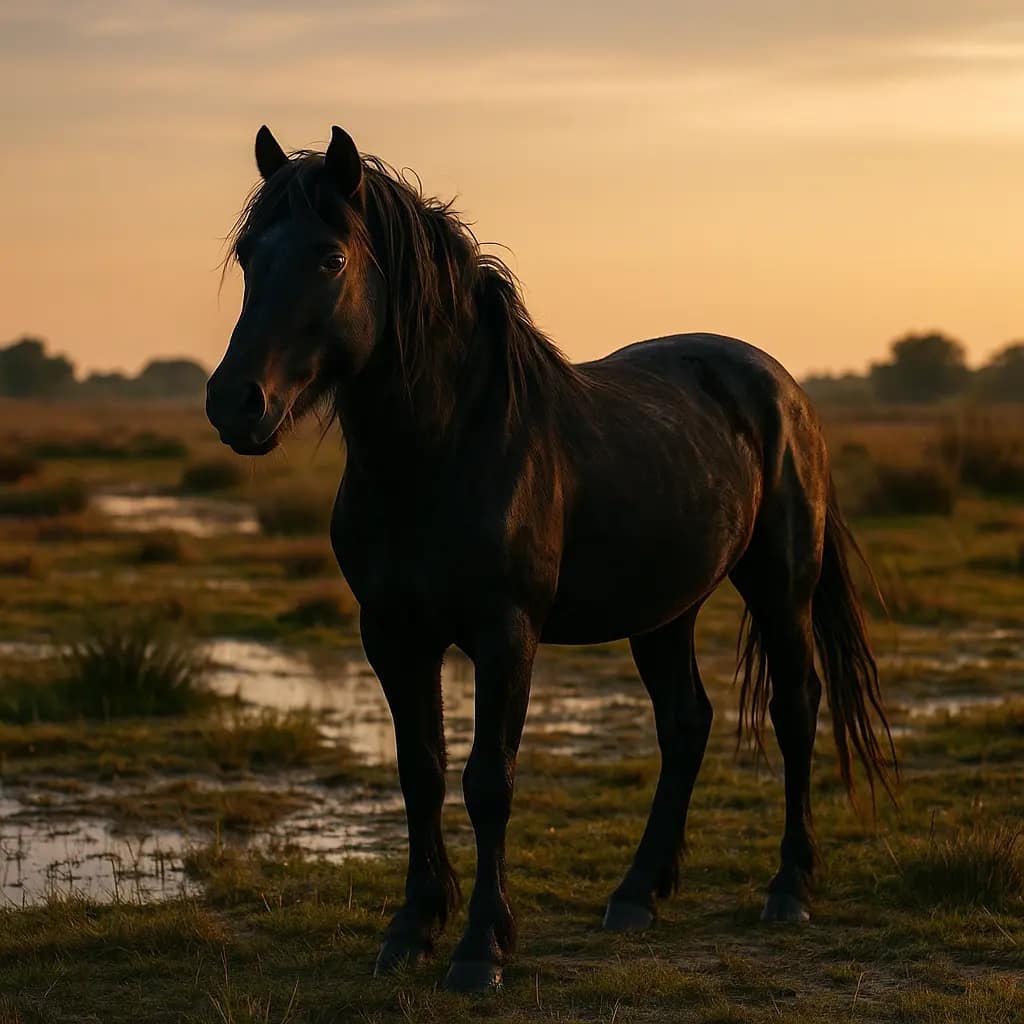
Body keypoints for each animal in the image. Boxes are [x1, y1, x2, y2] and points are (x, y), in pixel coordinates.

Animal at [206, 124, 896, 992]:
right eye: (247, 256)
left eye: (331, 259)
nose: (236, 403)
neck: (443, 449)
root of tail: (784, 389)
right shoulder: (392, 635)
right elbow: (420, 772)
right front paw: (412, 929)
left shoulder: (506, 634)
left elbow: (488, 781)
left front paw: (480, 948)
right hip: (663, 611)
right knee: (686, 724)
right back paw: (637, 895)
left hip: (780, 586)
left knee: (796, 707)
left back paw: (790, 888)